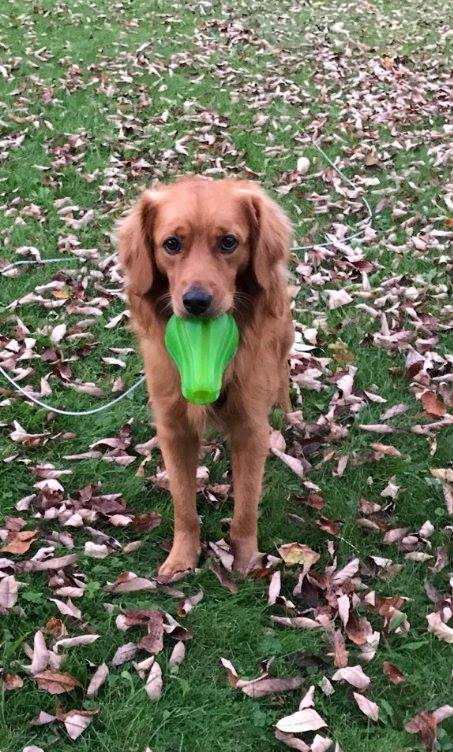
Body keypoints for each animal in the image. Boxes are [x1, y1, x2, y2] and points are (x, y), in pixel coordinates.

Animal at [116, 178, 294, 580]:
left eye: (228, 242)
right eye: (171, 244)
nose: (196, 301)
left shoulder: (251, 428)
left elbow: (246, 503)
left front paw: (245, 557)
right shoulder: (174, 428)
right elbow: (184, 504)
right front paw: (183, 556)